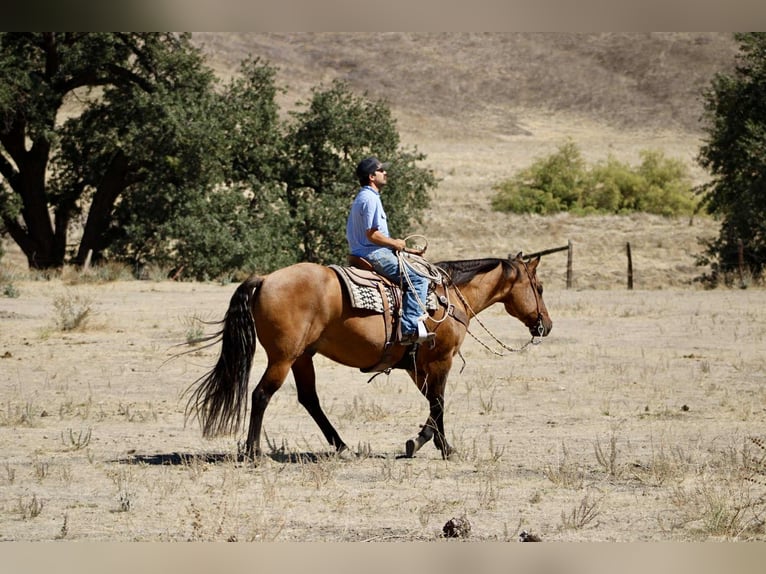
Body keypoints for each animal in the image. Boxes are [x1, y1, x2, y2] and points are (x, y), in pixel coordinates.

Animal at [185, 252, 552, 460]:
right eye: (540, 287)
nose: (546, 325)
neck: (448, 298)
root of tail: (264, 279)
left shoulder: (417, 366)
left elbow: (432, 403)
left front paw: (421, 441)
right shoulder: (440, 360)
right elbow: (439, 403)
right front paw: (442, 447)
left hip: (302, 357)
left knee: (309, 399)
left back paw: (342, 446)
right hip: (283, 358)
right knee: (261, 395)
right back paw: (253, 452)